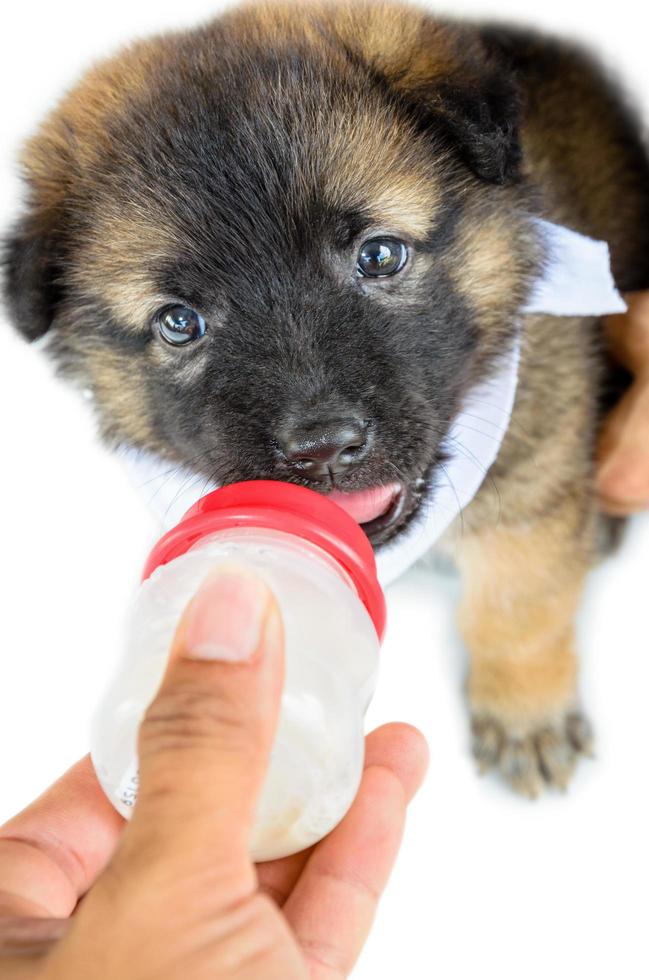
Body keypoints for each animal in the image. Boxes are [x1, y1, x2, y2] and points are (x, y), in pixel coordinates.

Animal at [5, 1, 648, 796]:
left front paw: (526, 713)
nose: (323, 449)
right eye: (179, 323)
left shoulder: (534, 463)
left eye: (379, 255)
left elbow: (516, 601)